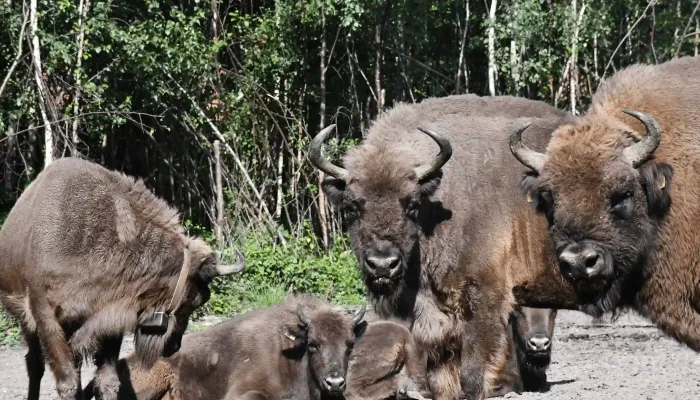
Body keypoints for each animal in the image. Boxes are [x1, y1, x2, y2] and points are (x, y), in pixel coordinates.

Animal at [0, 157, 244, 400]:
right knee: (35, 365)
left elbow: (107, 381)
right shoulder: (46, 317)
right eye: (194, 300)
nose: (173, 346)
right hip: (26, 321)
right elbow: (67, 382)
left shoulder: (110, 316)